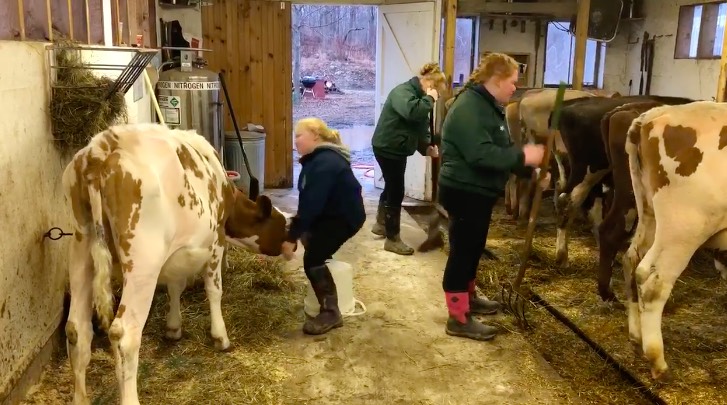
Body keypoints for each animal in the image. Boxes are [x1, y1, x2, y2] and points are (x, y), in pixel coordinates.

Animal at [61, 124, 290, 404]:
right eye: (281, 225)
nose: (292, 245)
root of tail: (102, 148)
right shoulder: (216, 242)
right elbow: (214, 290)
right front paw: (220, 336)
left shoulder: (176, 252)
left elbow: (174, 286)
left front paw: (173, 326)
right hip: (143, 262)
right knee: (124, 334)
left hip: (81, 248)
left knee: (76, 329)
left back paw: (80, 397)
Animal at [624, 101, 727, 382]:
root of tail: (657, 112)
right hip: (684, 228)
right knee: (653, 282)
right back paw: (657, 360)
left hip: (650, 214)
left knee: (633, 260)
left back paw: (636, 335)